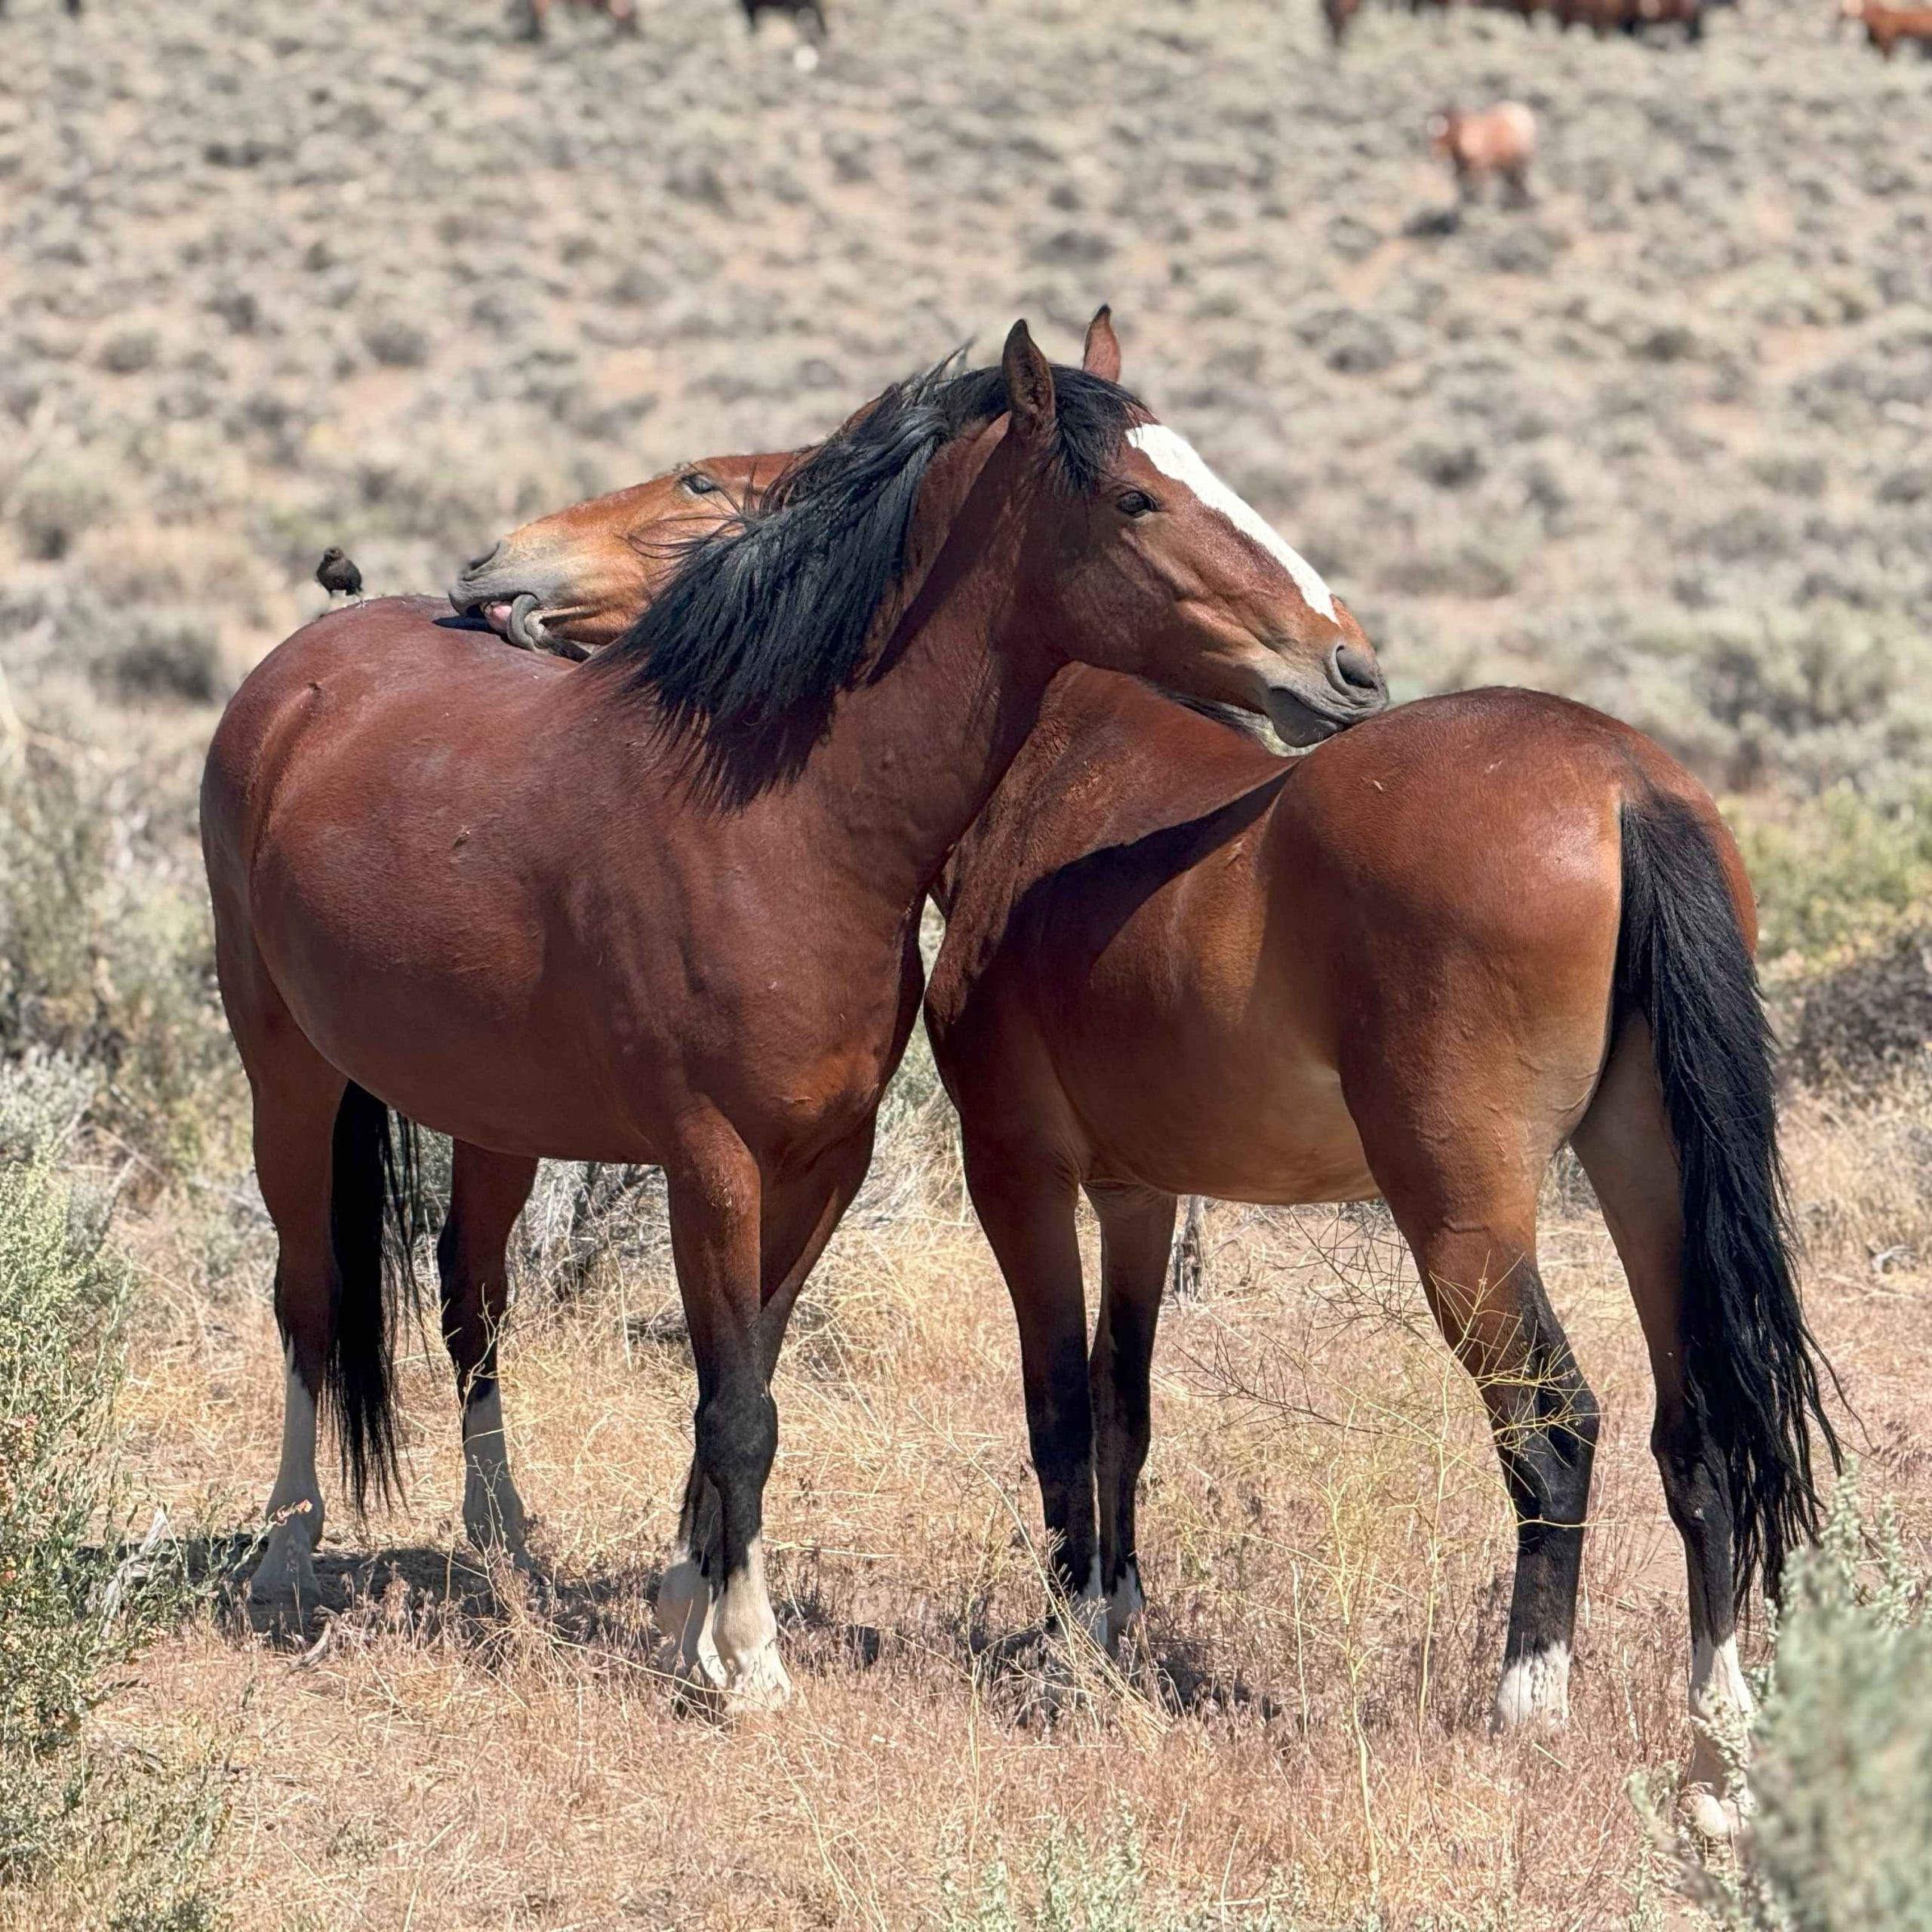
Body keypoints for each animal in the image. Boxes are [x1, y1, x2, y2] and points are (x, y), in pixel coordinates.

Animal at [200, 319, 1388, 1709]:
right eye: (1135, 499)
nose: (1350, 665)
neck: (779, 821)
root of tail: (304, 662)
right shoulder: (709, 1163)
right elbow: (736, 1410)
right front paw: (751, 1662)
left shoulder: (824, 1162)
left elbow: (748, 1387)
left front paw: (696, 1626)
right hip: (285, 1071)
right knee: (306, 1294)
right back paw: (288, 1552)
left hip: (494, 1115)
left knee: (469, 1295)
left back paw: (507, 1550)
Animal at [914, 314, 1838, 1833]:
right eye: (1143, 494)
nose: (1344, 667)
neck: (1058, 777)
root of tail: (1623, 782)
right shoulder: (1137, 1196)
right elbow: (1123, 1405)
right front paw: (1112, 1619)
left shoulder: (1021, 1177)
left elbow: (1056, 1409)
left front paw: (1062, 1651)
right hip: (1645, 1169)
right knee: (1697, 1430)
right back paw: (1719, 1751)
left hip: (1462, 1216)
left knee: (1557, 1425)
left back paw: (1528, 1707)